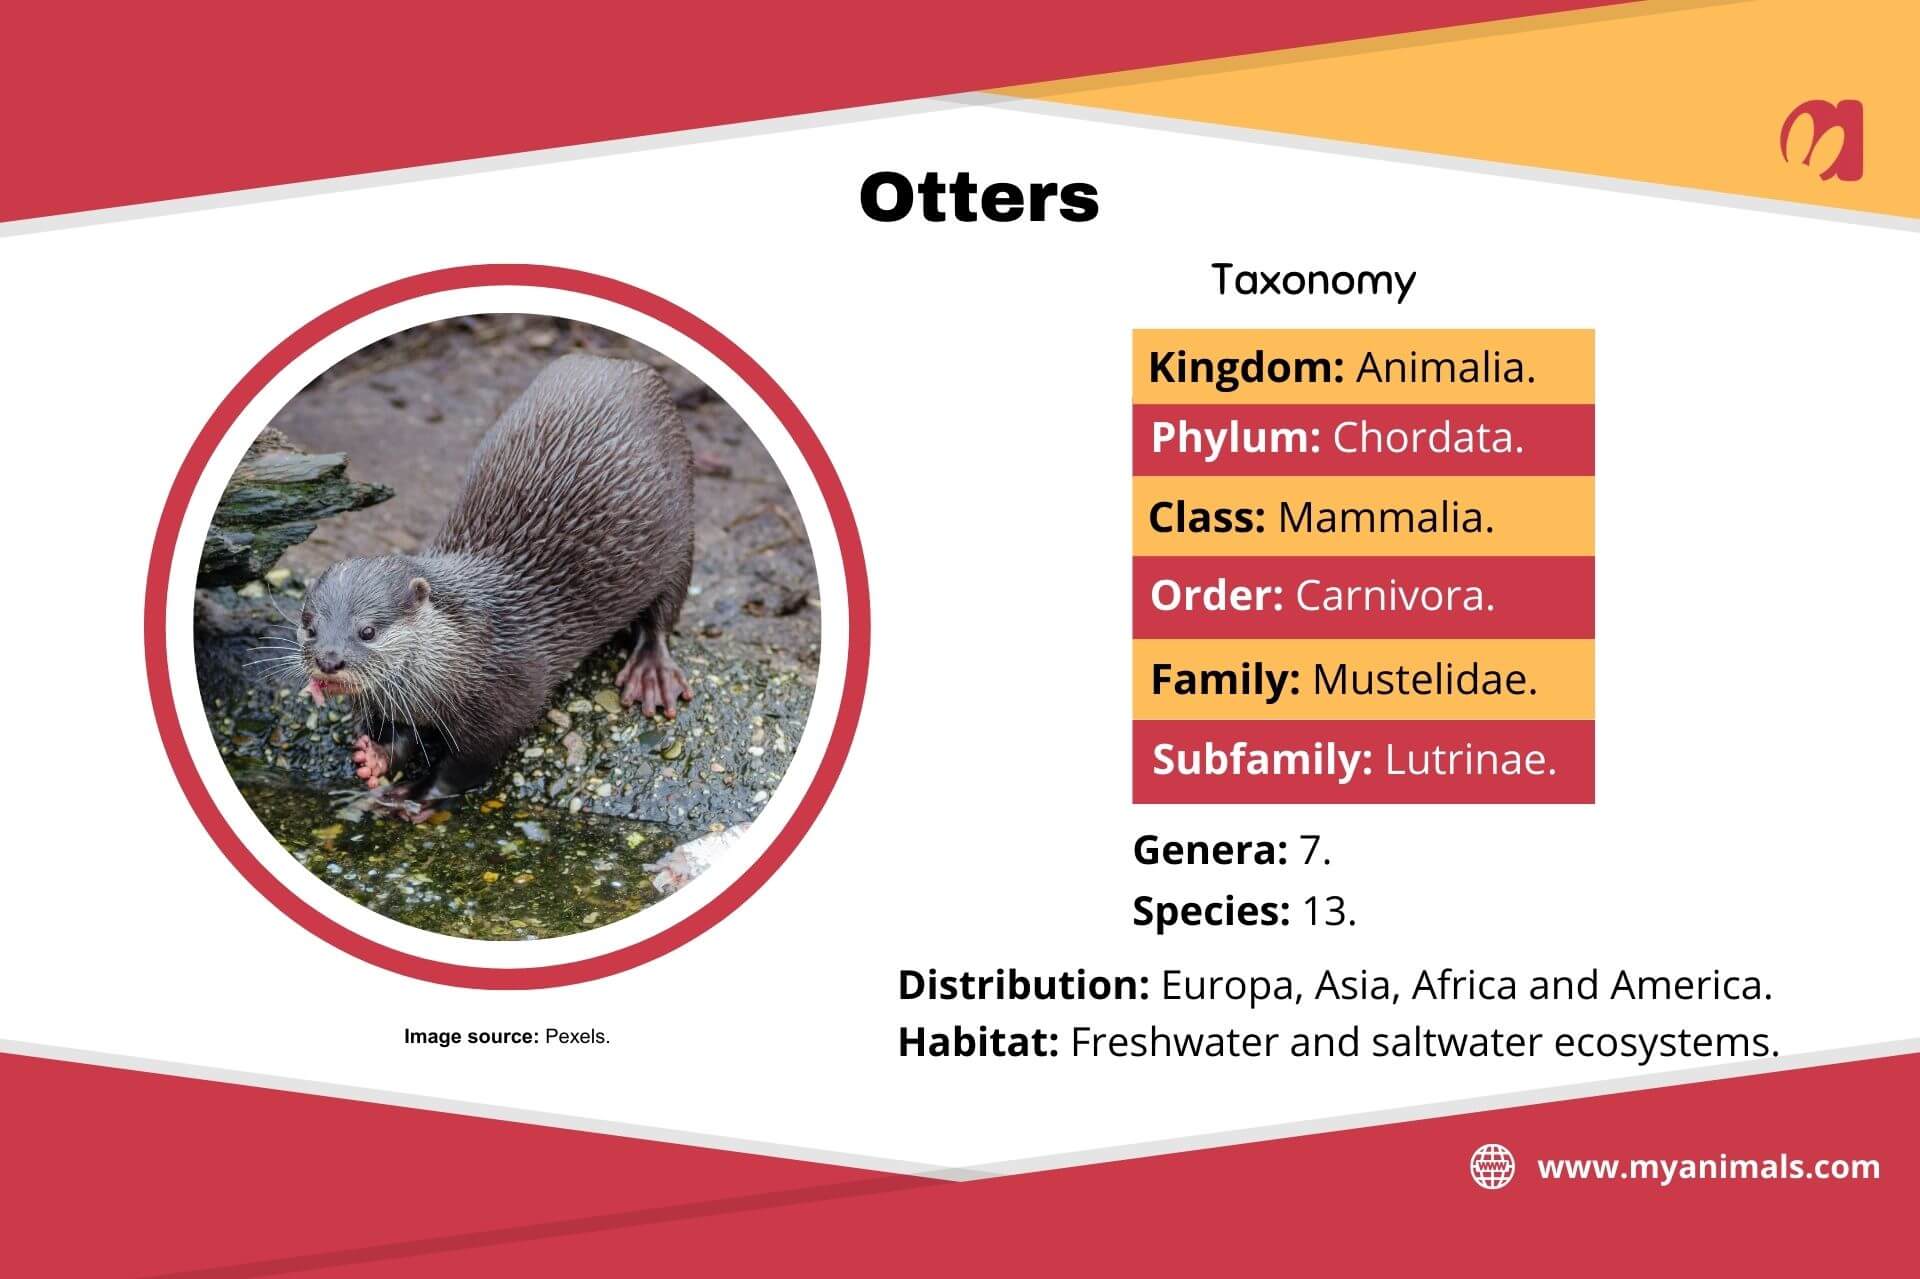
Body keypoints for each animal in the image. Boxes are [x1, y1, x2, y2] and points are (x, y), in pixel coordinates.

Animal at [296, 353, 695, 819]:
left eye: (368, 631)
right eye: (309, 626)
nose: (328, 659)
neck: (471, 649)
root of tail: (619, 362)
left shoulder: (507, 699)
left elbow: (467, 765)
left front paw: (415, 795)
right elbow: (402, 736)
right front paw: (373, 758)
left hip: (680, 531)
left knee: (664, 610)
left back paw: (652, 672)